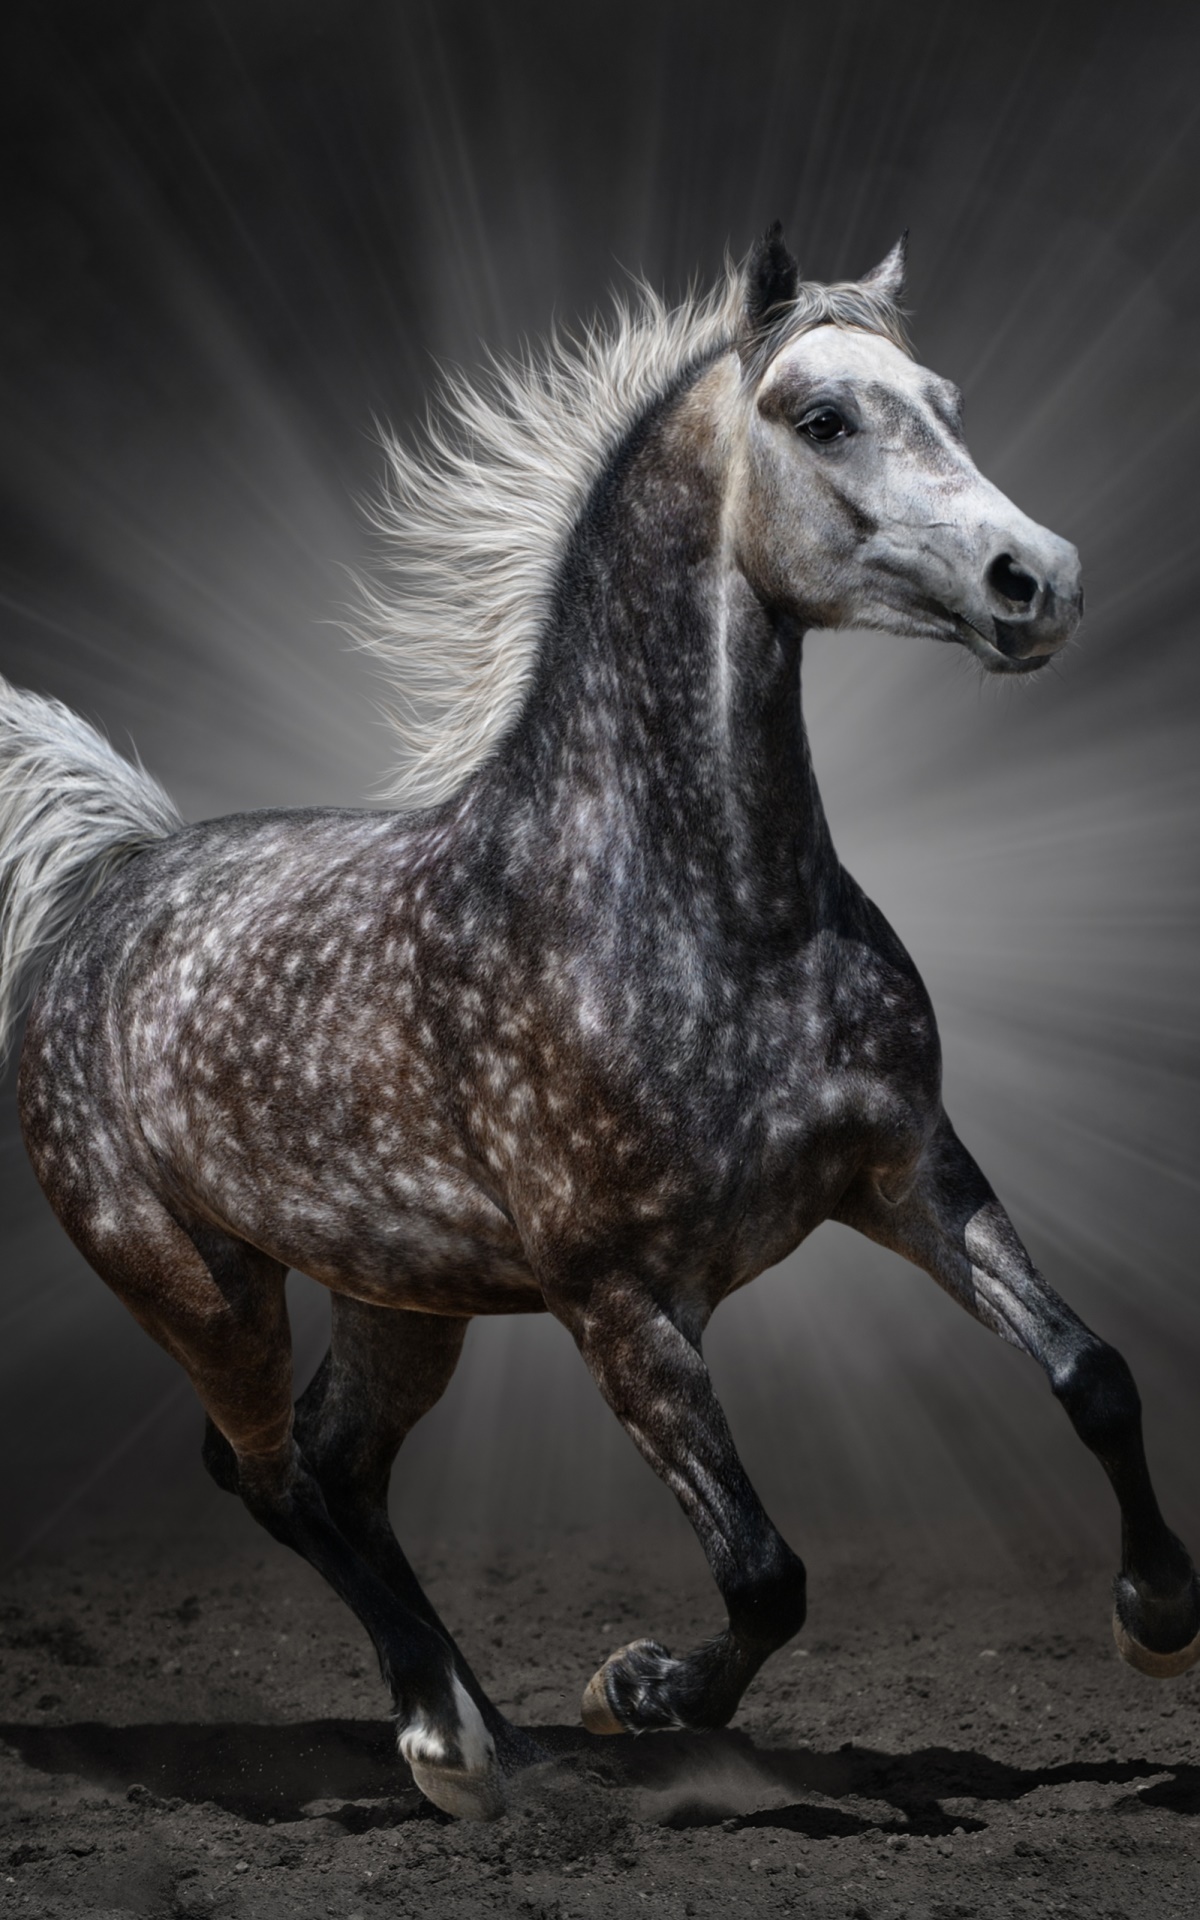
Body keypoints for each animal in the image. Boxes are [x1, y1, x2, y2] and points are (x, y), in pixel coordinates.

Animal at [2, 226, 1197, 1822]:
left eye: (945, 400)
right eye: (825, 417)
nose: (1039, 582)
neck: (706, 915)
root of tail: (108, 884)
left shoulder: (910, 1172)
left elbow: (1094, 1376)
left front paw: (1159, 1619)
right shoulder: (618, 1300)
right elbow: (765, 1575)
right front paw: (638, 1691)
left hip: (401, 1298)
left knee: (334, 1469)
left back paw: (479, 1729)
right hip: (197, 1285)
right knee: (263, 1473)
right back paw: (449, 1740)